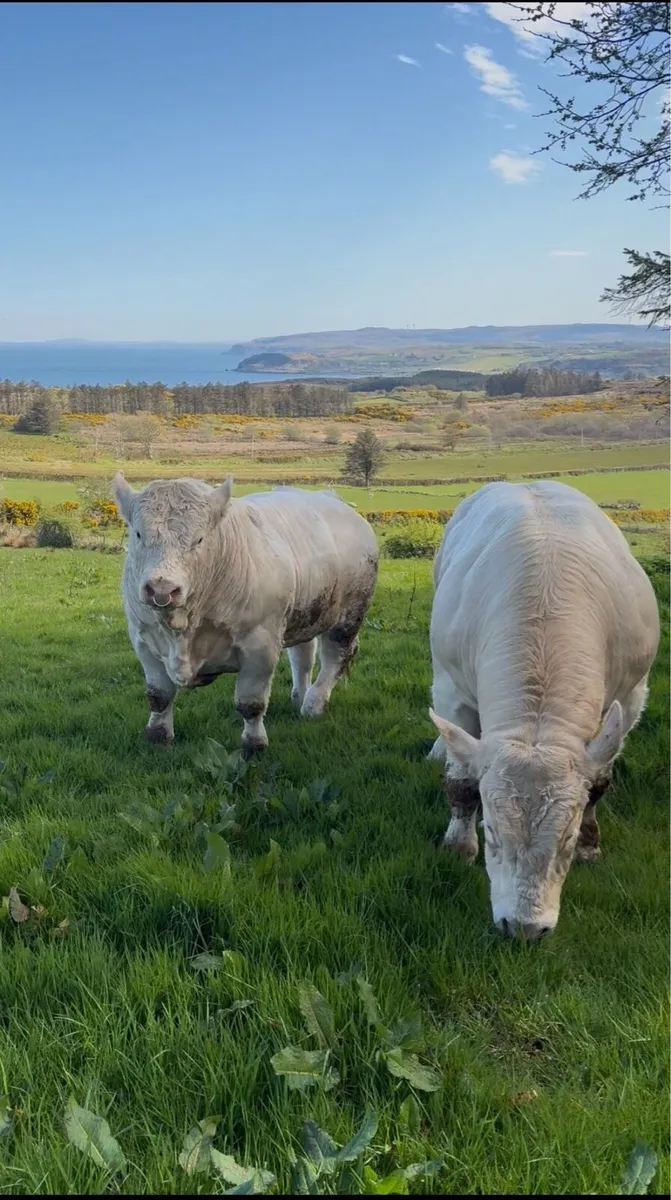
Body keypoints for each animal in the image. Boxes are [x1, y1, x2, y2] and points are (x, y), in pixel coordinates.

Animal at [113, 473, 378, 753]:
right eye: (138, 534)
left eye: (199, 539)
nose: (162, 589)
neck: (183, 629)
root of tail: (333, 499)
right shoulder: (143, 640)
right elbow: (159, 696)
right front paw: (158, 736)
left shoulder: (260, 647)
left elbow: (251, 704)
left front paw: (254, 745)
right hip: (306, 612)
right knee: (303, 655)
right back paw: (300, 695)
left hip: (349, 614)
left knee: (335, 656)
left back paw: (313, 703)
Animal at [428, 480, 660, 940]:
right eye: (491, 832)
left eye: (565, 839)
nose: (524, 928)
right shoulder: (450, 689)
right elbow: (461, 782)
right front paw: (458, 846)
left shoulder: (631, 695)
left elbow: (600, 781)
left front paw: (591, 842)